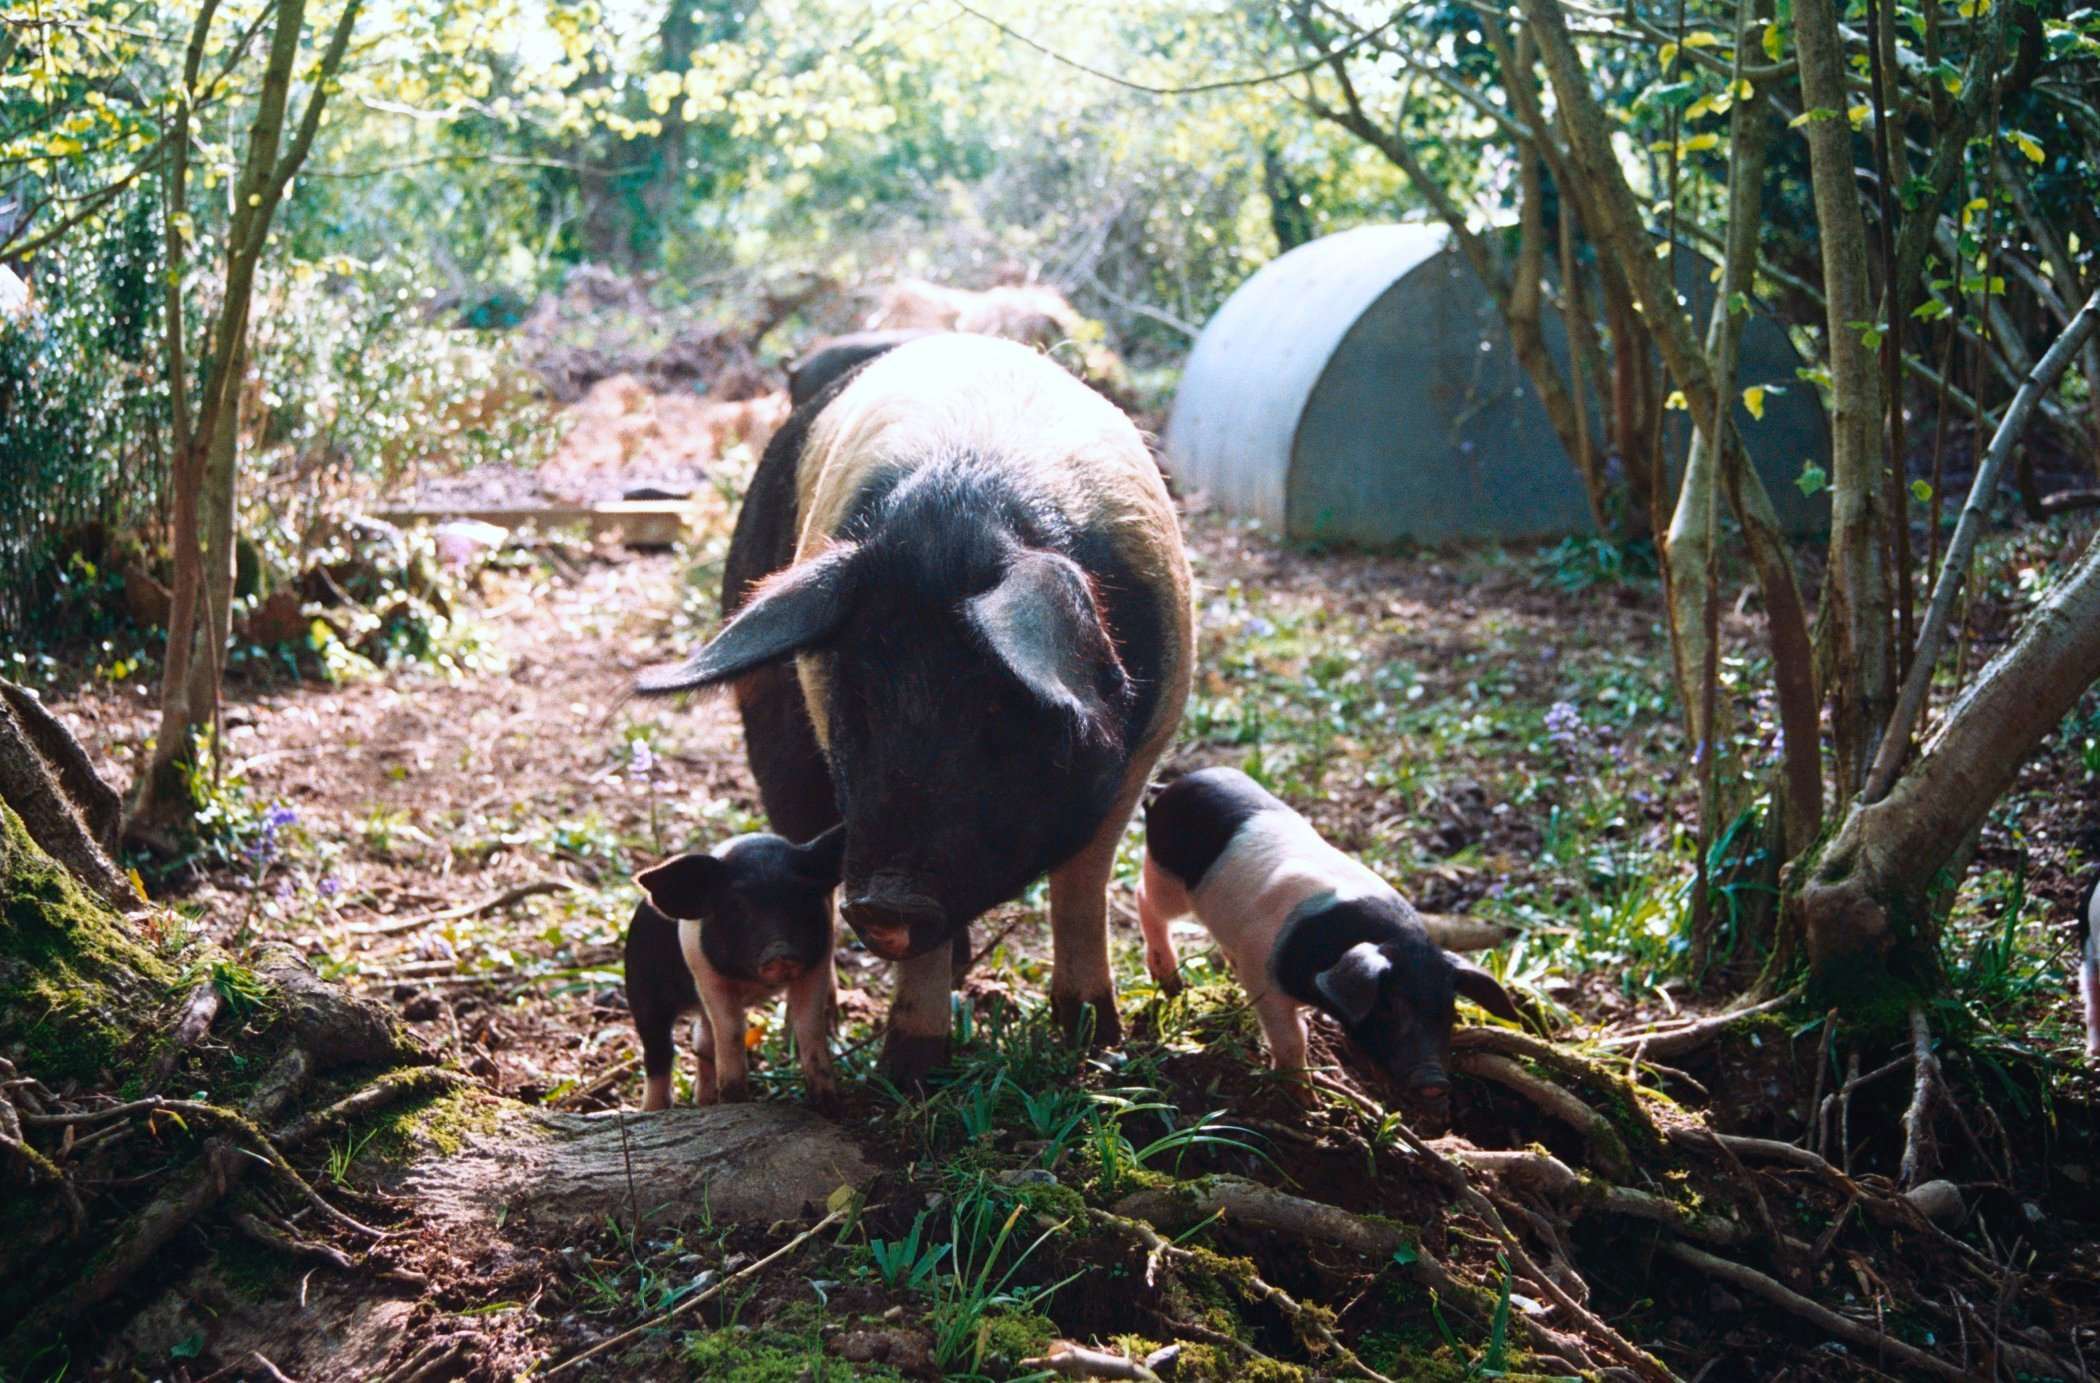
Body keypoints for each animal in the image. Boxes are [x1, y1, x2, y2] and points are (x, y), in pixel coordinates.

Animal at [624, 826, 845, 1110]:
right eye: (736, 906)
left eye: (803, 897)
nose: (780, 951)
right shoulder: (706, 974)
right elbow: (731, 1031)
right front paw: (735, 1102)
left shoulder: (817, 964)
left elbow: (809, 1026)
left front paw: (829, 1106)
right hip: (641, 986)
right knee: (658, 1048)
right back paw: (654, 1109)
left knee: (702, 1041)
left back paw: (704, 1102)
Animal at [637, 333, 1194, 1080]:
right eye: (859, 702)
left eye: (1000, 713)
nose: (884, 902)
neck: (961, 512)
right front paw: (910, 1072)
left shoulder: (1141, 752)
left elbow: (1081, 890)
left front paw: (1096, 1044)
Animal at [1136, 767, 1522, 1103]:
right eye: (1390, 1005)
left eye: (1449, 1009)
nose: (1434, 1081)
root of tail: (1168, 788)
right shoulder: (1262, 972)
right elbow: (1291, 1037)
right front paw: (1307, 1102)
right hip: (1165, 874)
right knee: (1146, 900)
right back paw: (1172, 983)